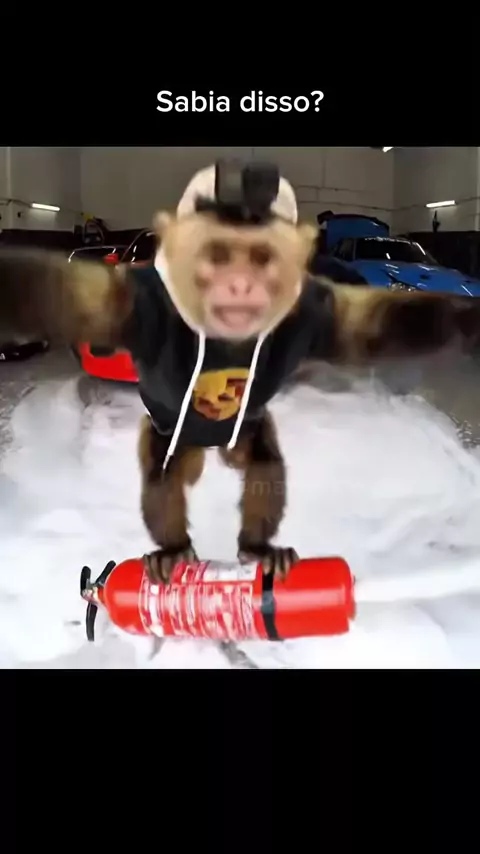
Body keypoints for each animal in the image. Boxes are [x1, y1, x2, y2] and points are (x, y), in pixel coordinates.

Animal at [0, 159, 479, 586]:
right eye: (217, 255)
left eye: (261, 258)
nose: (240, 283)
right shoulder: (142, 306)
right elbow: (59, 295)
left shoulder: (306, 312)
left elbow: (369, 325)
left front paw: (466, 320)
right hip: (177, 439)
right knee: (163, 466)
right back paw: (174, 550)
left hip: (243, 436)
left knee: (263, 459)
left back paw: (257, 547)